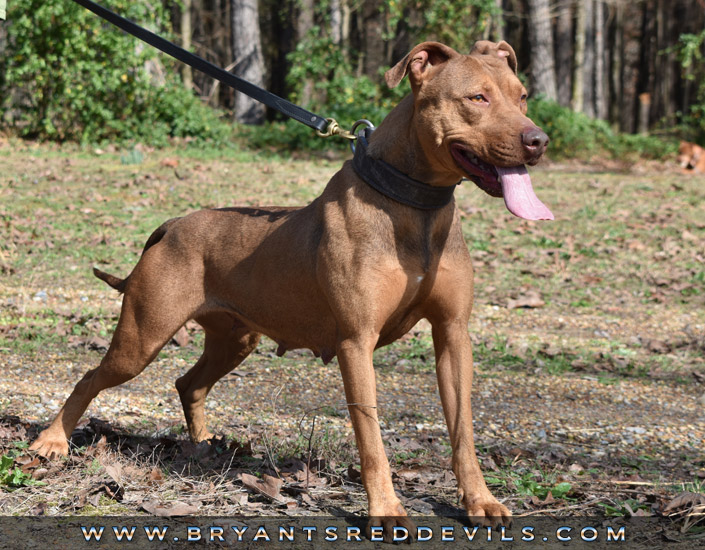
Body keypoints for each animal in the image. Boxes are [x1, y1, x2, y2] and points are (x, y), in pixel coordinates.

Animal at [31, 41, 552, 532]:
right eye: (477, 98)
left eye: (522, 95)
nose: (539, 140)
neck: (412, 204)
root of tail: (173, 225)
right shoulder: (356, 342)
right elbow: (370, 434)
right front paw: (385, 508)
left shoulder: (452, 334)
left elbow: (463, 431)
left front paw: (480, 500)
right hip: (143, 337)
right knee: (91, 377)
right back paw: (52, 442)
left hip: (234, 339)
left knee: (189, 383)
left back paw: (201, 449)